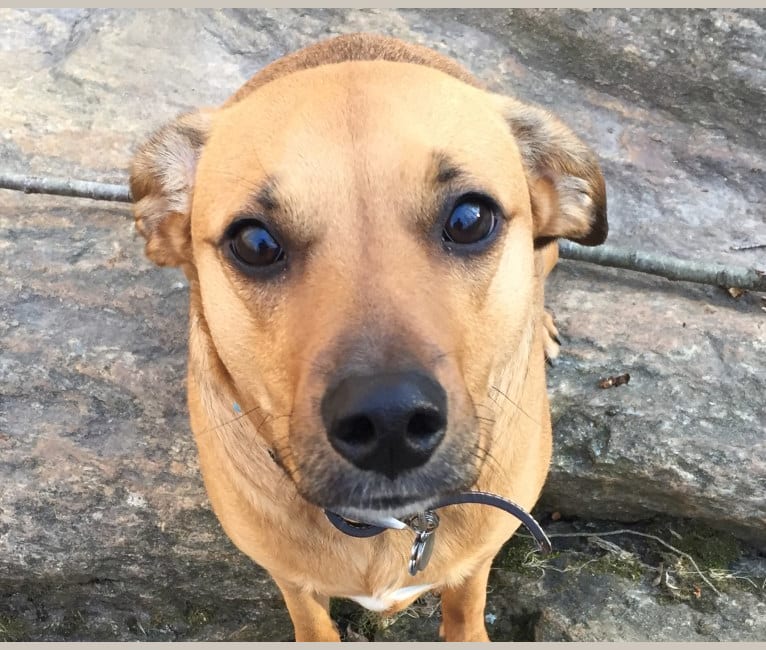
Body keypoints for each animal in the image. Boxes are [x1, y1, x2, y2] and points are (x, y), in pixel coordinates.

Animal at [132, 33, 608, 640]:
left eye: (471, 219)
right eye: (255, 243)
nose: (389, 422)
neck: (387, 526)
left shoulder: (478, 560)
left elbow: (466, 606)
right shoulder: (291, 579)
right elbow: (312, 621)